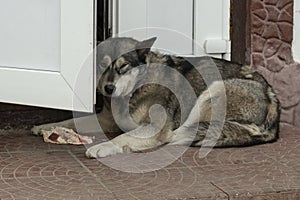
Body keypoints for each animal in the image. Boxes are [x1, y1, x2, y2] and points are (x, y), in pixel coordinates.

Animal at [31, 36, 280, 157]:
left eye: (123, 67)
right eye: (102, 66)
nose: (109, 88)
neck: (136, 88)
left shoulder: (153, 127)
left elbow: (123, 137)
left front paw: (104, 147)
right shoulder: (105, 119)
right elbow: (70, 121)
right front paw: (46, 127)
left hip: (213, 90)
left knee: (180, 133)